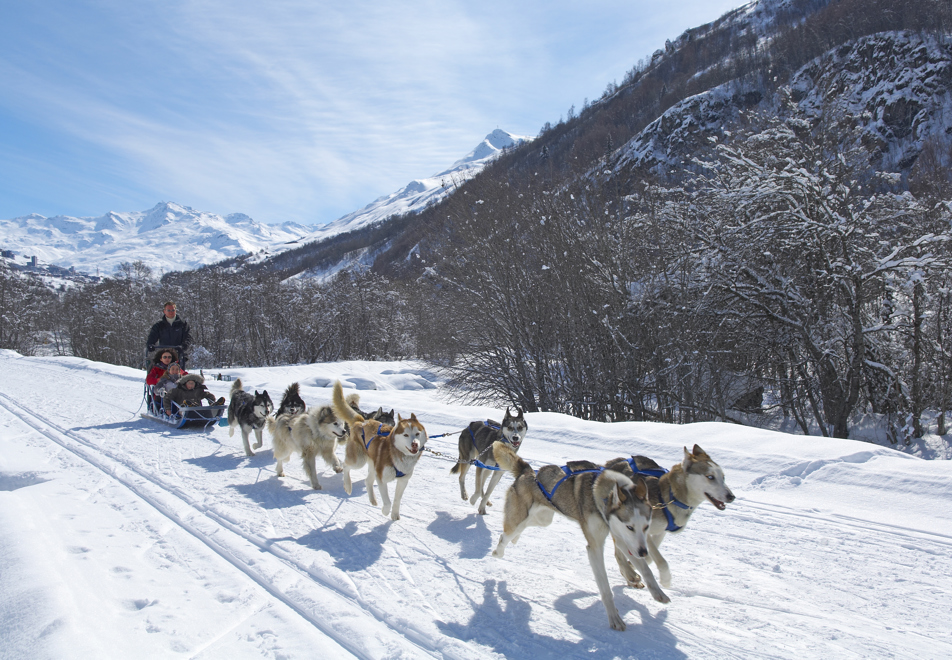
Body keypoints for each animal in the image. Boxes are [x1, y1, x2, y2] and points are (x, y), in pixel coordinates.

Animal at [330, 382, 428, 520]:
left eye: (417, 434)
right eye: (405, 435)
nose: (415, 444)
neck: (398, 455)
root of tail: (362, 421)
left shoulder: (403, 481)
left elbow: (397, 500)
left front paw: (394, 514)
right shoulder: (381, 479)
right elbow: (387, 501)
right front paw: (385, 511)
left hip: (373, 464)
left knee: (367, 480)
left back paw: (372, 499)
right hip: (359, 461)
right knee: (346, 466)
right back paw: (348, 486)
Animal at [494, 440, 664, 632]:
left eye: (646, 527)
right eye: (630, 527)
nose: (643, 552)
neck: (602, 497)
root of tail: (527, 471)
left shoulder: (624, 540)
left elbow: (645, 569)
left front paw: (658, 592)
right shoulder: (595, 547)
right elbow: (605, 589)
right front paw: (614, 618)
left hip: (543, 519)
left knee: (520, 530)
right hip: (520, 518)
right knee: (506, 534)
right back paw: (498, 551)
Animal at [604, 446, 736, 592]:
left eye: (723, 477)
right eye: (710, 477)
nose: (731, 496)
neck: (669, 495)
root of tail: (611, 463)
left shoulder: (659, 532)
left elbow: (650, 557)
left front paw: (635, 564)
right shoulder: (641, 530)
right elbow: (661, 561)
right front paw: (665, 579)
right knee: (618, 552)